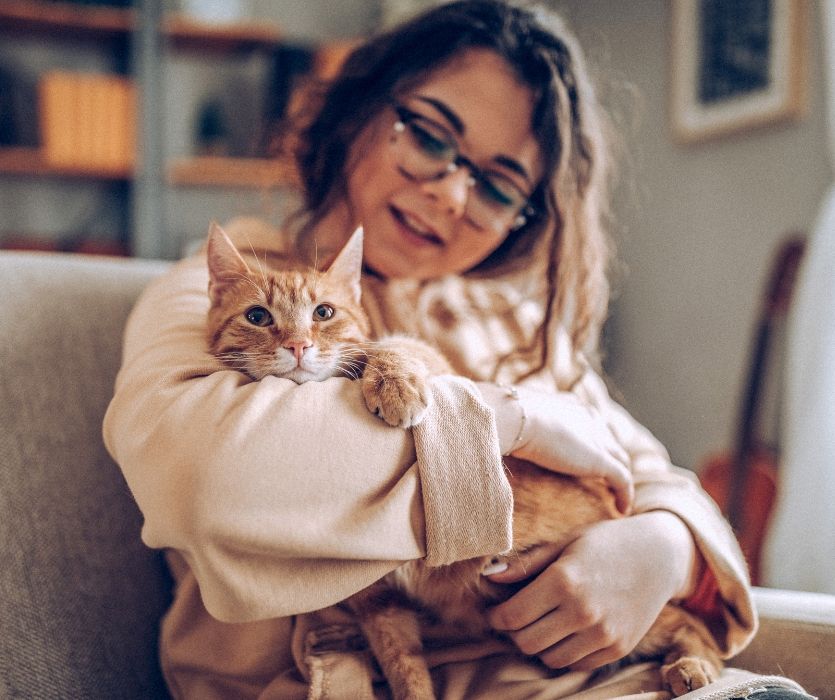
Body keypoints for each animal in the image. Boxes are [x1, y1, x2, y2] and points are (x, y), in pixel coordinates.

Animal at [206, 223, 720, 700]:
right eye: (257, 316)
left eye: (324, 313)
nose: (297, 346)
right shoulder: (379, 606)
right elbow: (404, 665)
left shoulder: (432, 360)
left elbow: (392, 346)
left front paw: (394, 384)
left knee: (694, 625)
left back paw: (694, 666)